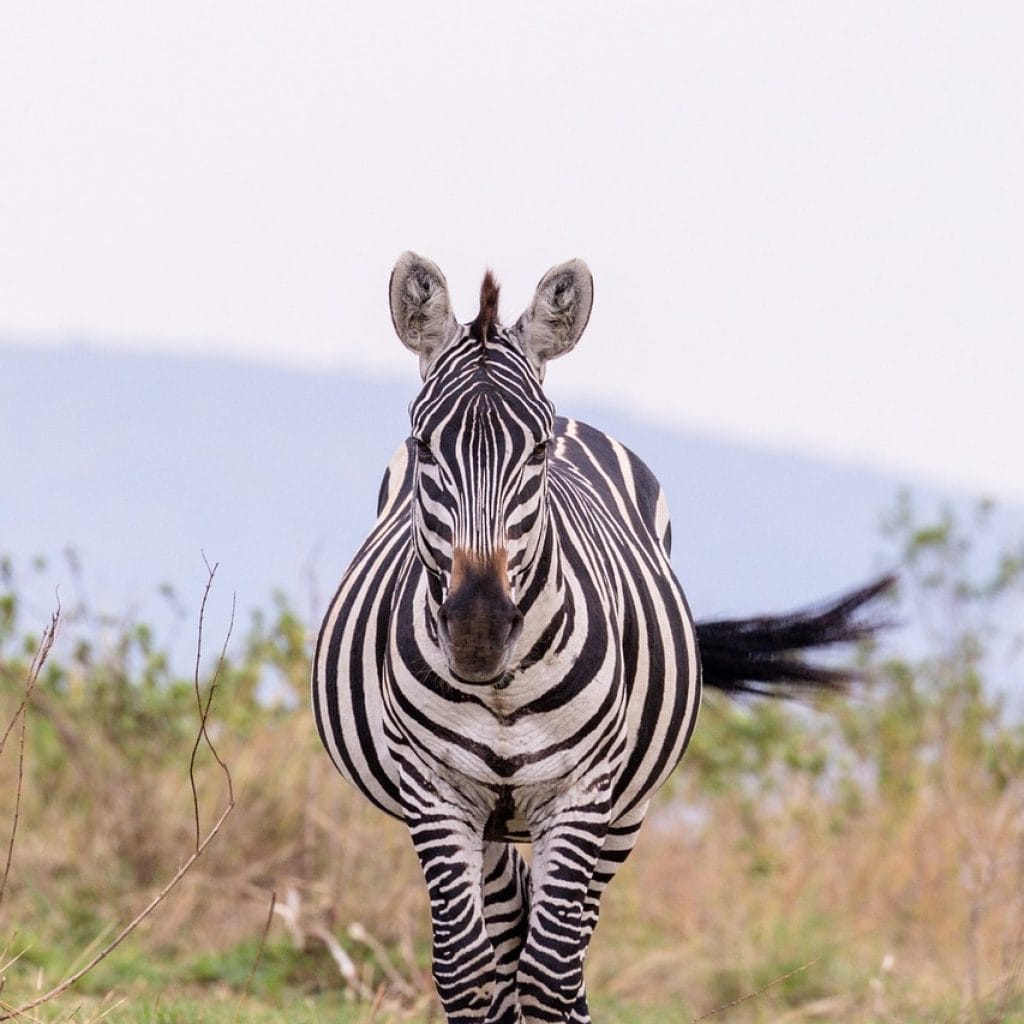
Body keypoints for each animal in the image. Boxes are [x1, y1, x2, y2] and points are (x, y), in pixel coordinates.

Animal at [312, 253, 892, 1024]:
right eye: (423, 446)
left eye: (536, 453)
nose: (477, 631)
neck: (502, 693)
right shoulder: (435, 790)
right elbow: (467, 971)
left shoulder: (584, 793)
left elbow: (551, 973)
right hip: (489, 818)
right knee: (507, 934)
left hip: (624, 813)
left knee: (562, 954)